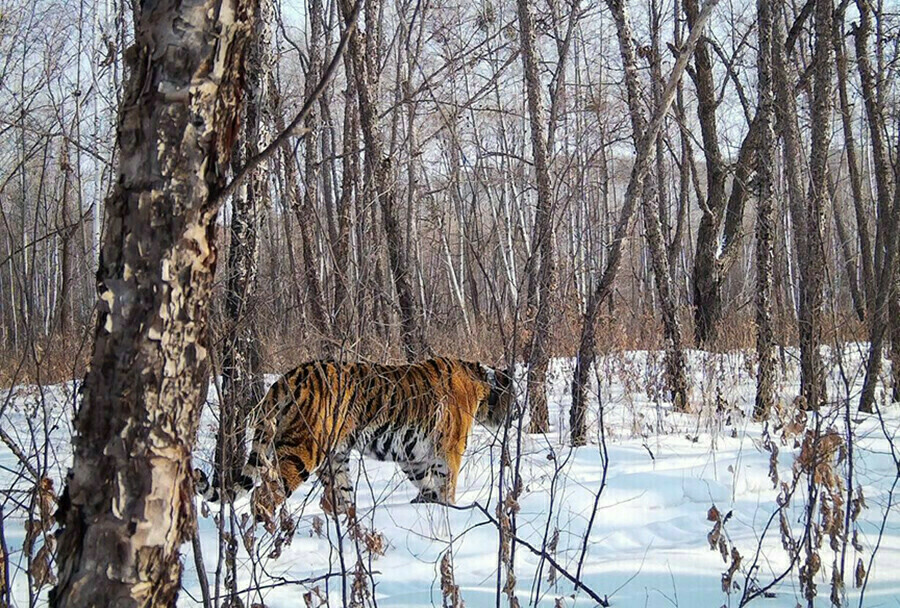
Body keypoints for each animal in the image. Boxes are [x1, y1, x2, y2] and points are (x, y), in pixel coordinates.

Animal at [194, 357, 515, 517]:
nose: (514, 415)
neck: (481, 386)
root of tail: (286, 378)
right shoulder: (449, 450)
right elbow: (447, 485)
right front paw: (450, 511)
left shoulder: (413, 456)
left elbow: (427, 485)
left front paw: (426, 505)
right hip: (303, 452)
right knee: (262, 497)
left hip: (335, 457)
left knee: (338, 497)